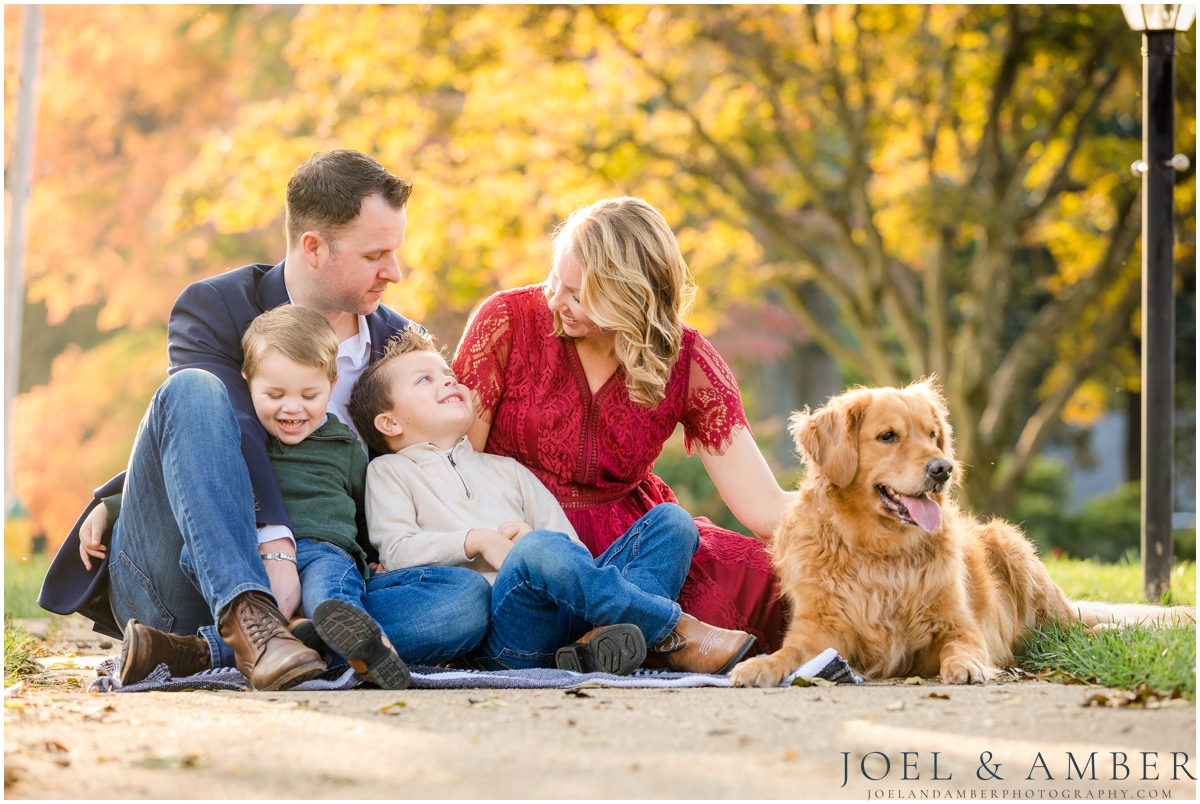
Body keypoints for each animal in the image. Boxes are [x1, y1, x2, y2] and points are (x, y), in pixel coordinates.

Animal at [724, 381, 1195, 691]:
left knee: (1068, 629)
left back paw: (1101, 633)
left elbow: (960, 645)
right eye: (888, 436)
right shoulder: (819, 630)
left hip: (1014, 548)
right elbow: (790, 653)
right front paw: (761, 666)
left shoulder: (958, 624)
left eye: (932, 435)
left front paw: (967, 666)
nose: (943, 468)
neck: (879, 552)